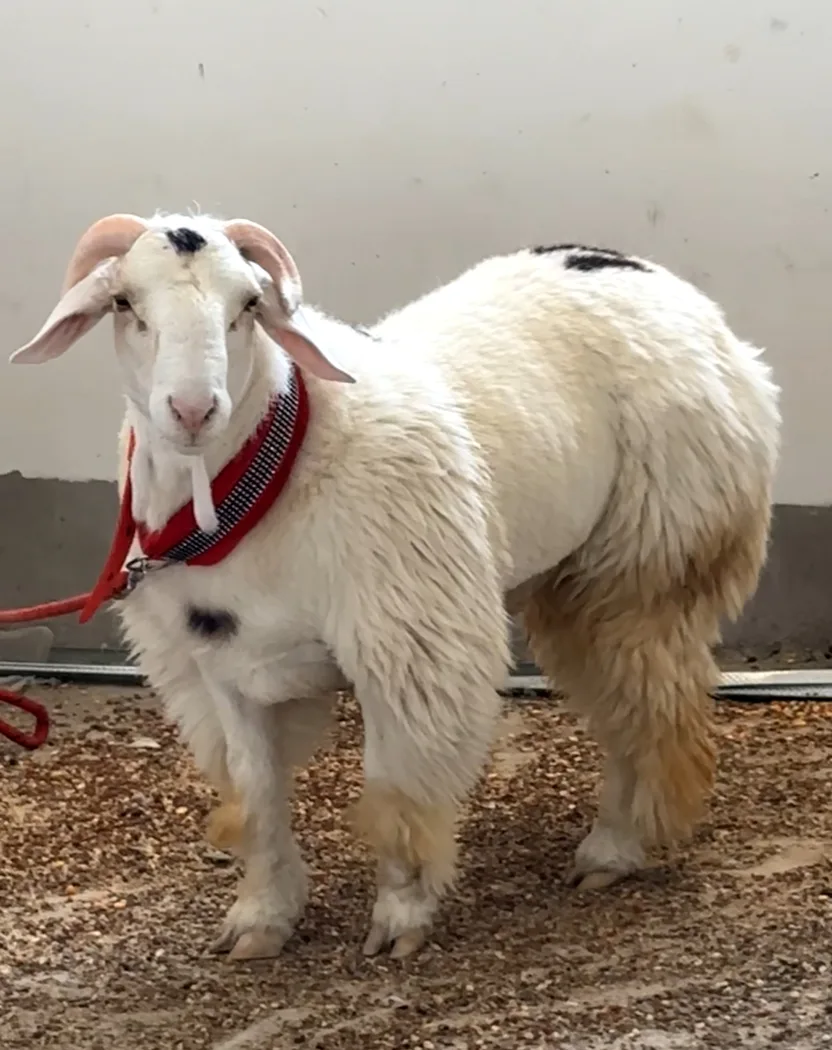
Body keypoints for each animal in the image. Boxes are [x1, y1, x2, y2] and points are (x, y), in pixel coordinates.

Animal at [10, 215, 781, 961]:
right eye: (123, 302)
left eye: (249, 305)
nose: (194, 410)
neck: (262, 478)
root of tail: (654, 278)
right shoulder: (215, 665)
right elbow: (257, 796)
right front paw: (261, 921)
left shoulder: (405, 648)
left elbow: (398, 788)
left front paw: (399, 921)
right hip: (571, 572)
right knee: (622, 699)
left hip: (647, 556)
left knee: (644, 703)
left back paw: (614, 849)